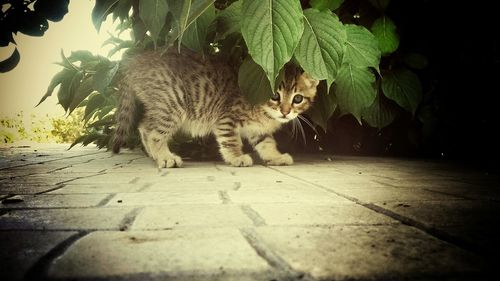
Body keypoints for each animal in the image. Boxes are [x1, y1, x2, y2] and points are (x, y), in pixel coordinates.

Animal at [113, 47, 318, 166]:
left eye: (297, 99)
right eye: (275, 95)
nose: (285, 112)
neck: (264, 112)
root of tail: (133, 63)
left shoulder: (257, 130)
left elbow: (266, 143)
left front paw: (276, 157)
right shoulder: (226, 117)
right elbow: (231, 140)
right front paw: (236, 157)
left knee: (143, 126)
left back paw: (155, 155)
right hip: (172, 102)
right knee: (151, 131)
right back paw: (165, 157)